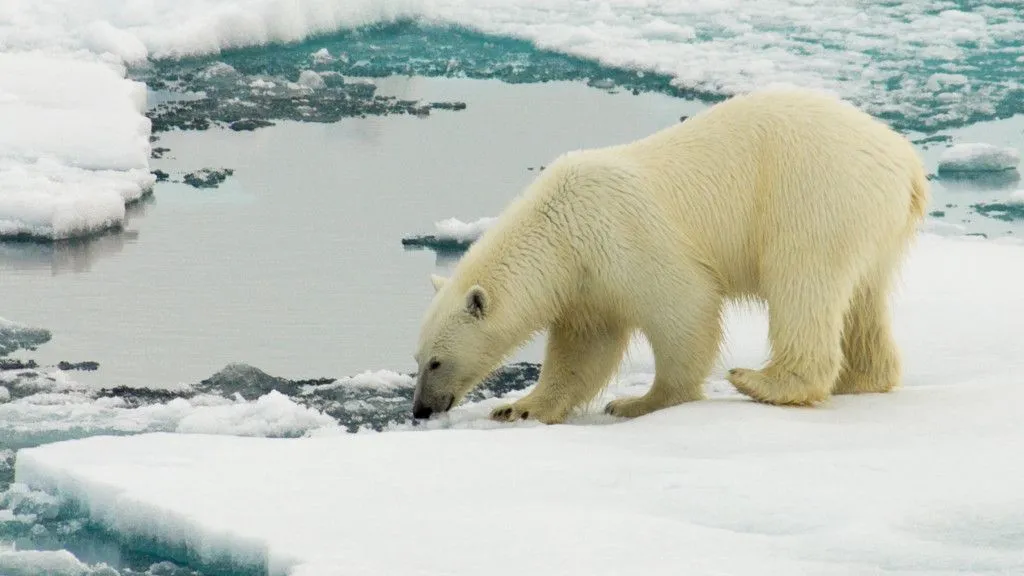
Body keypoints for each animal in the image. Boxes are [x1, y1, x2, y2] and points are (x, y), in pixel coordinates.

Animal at [411, 86, 929, 424]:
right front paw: (518, 407)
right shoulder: (587, 281)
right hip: (871, 225)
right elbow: (584, 347)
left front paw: (638, 402)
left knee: (802, 282)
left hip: (815, 194)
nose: (420, 409)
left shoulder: (622, 237)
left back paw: (762, 381)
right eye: (416, 359)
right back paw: (862, 377)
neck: (559, 228)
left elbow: (684, 307)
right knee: (862, 299)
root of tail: (907, 164)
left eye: (435, 362)